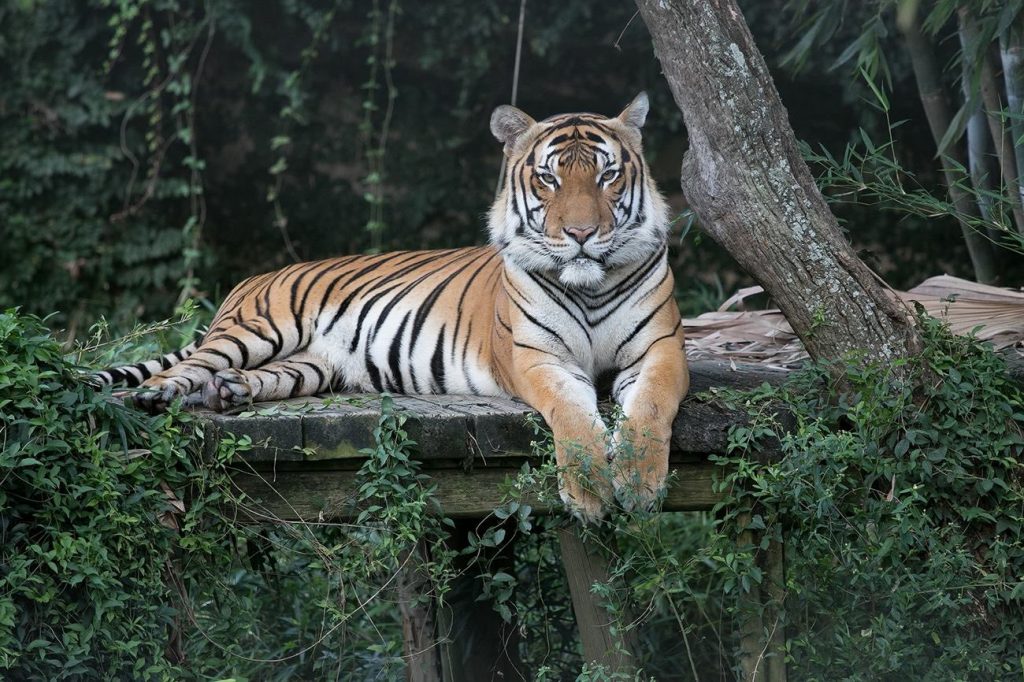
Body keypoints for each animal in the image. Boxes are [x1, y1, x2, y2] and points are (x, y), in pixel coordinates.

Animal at [95, 93, 689, 522]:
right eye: (549, 177)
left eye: (608, 175)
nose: (582, 234)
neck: (589, 285)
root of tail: (254, 278)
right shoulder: (537, 358)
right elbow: (573, 416)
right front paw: (590, 495)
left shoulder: (660, 350)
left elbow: (650, 408)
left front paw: (638, 486)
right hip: (259, 329)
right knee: (185, 369)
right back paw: (154, 397)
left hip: (312, 366)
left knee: (252, 376)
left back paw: (230, 392)